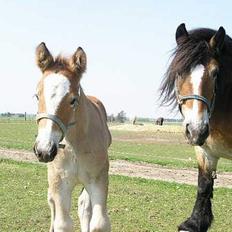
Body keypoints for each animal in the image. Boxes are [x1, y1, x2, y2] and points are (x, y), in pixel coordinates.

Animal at [33, 42, 111, 231]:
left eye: (73, 100)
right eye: (37, 95)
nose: (44, 150)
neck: (74, 145)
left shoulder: (98, 179)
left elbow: (99, 222)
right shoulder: (60, 182)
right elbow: (63, 223)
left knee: (83, 205)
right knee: (51, 201)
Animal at [160, 23, 232, 232]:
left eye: (215, 73)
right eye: (178, 72)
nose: (196, 131)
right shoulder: (205, 151)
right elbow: (204, 185)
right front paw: (195, 222)